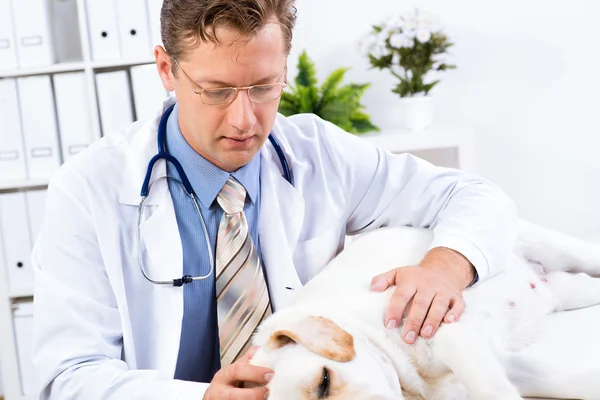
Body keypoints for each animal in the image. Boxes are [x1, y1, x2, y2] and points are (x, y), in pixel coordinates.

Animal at [248, 223, 600, 398]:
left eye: (324, 381)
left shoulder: (447, 331)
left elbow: (491, 388)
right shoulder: (505, 364)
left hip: (558, 248)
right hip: (569, 291)